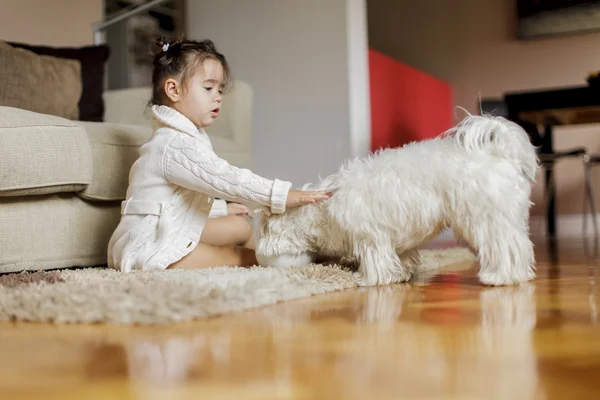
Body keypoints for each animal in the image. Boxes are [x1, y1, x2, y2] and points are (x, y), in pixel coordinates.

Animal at [251, 114, 540, 286]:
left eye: (264, 231)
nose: (259, 252)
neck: (323, 210)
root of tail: (502, 154)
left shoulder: (370, 235)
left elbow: (375, 259)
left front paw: (367, 279)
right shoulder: (394, 238)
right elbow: (403, 255)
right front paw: (402, 273)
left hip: (488, 219)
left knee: (506, 248)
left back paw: (500, 276)